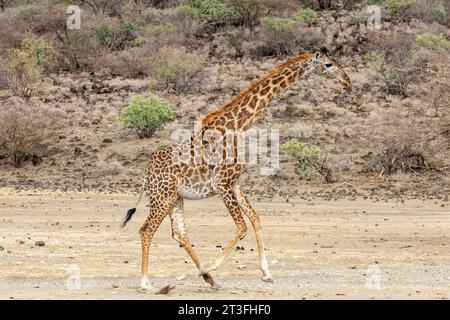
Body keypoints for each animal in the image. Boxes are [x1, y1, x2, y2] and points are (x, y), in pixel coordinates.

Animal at [122, 48, 352, 292]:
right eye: (328, 64)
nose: (348, 80)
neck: (239, 125)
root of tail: (146, 175)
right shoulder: (223, 183)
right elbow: (242, 227)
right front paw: (212, 266)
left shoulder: (235, 183)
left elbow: (256, 219)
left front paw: (266, 273)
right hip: (162, 197)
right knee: (146, 230)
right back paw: (147, 283)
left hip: (175, 198)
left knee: (179, 233)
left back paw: (209, 279)